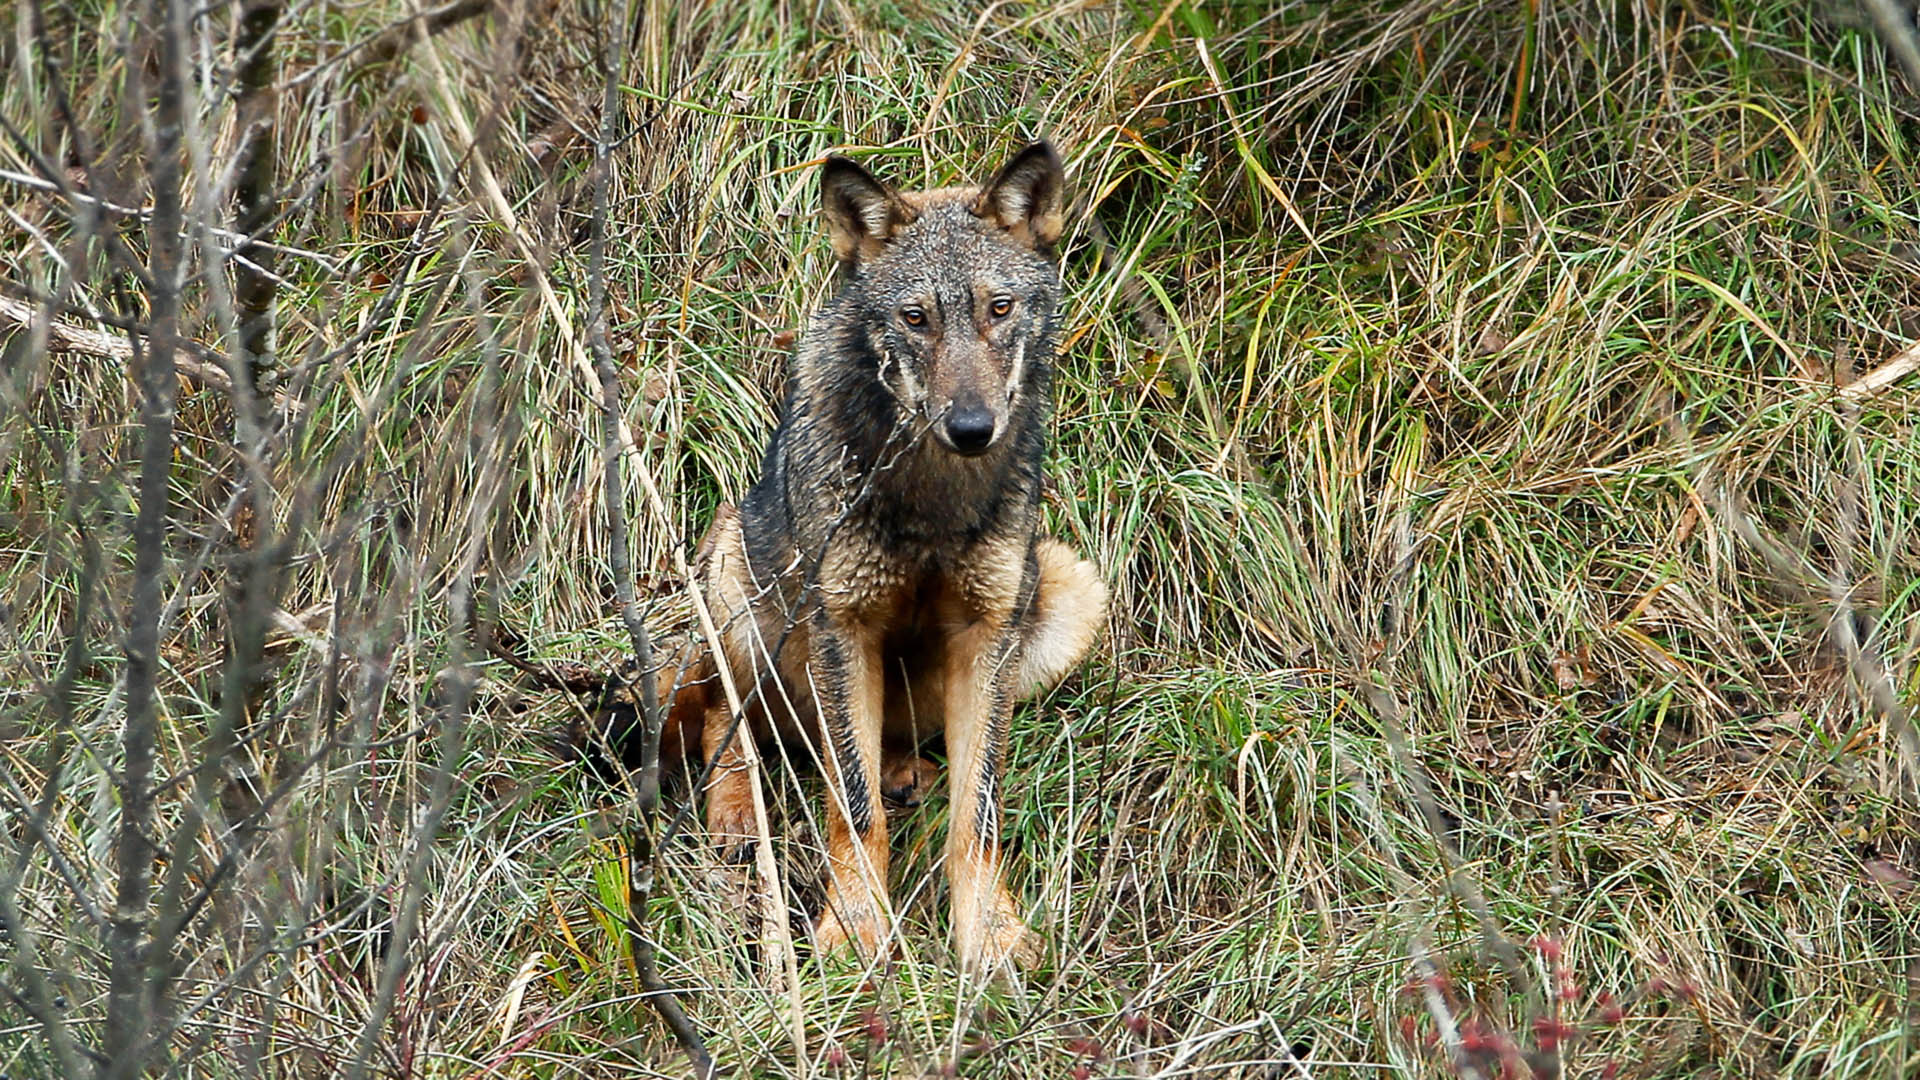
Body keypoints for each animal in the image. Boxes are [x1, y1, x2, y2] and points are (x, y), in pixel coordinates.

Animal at [660, 138, 1105, 972]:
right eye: (915, 318)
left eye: (999, 309)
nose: (972, 427)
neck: (932, 498)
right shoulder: (842, 627)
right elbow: (852, 808)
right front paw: (853, 931)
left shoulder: (988, 630)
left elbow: (978, 813)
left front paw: (991, 937)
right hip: (737, 582)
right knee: (724, 718)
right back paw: (737, 814)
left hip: (1064, 590)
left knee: (881, 748)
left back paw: (907, 773)